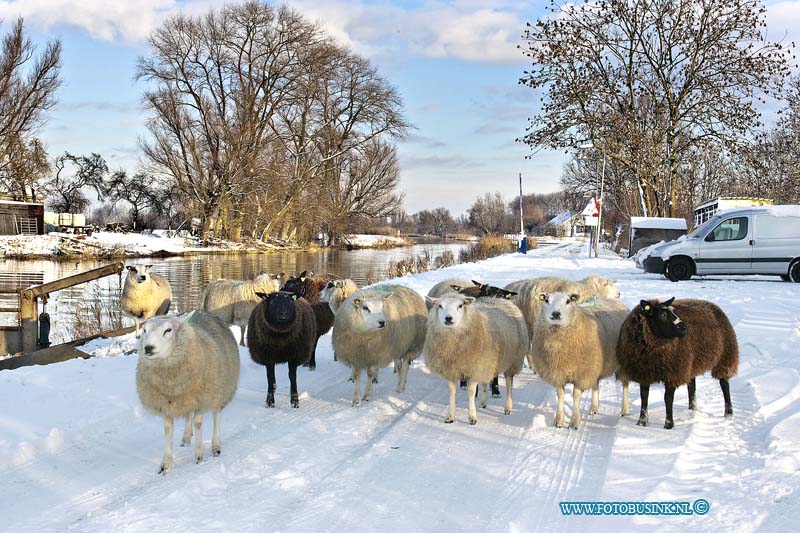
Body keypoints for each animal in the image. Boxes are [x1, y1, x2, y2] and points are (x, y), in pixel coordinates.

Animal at [136, 310, 241, 472]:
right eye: (144, 330)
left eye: (168, 330)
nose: (148, 348)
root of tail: (203, 311)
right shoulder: (167, 404)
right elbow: (168, 429)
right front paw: (166, 463)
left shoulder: (202, 398)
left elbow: (198, 423)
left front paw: (199, 455)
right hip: (188, 397)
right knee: (187, 415)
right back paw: (186, 437)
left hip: (218, 390)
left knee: (216, 415)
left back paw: (216, 445)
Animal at [422, 296, 528, 424]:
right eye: (440, 306)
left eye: (460, 305)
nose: (448, 318)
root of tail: (501, 299)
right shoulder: (452, 371)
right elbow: (452, 392)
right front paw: (450, 417)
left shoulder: (473, 370)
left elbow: (471, 392)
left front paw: (472, 417)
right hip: (487, 362)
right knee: (485, 382)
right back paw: (483, 402)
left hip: (512, 361)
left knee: (509, 384)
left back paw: (507, 407)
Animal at [532, 290, 632, 428]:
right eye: (546, 300)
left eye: (568, 301)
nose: (556, 314)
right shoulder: (559, 373)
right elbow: (560, 395)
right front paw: (559, 421)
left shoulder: (582, 373)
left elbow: (576, 395)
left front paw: (574, 422)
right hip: (595, 364)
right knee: (595, 384)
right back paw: (594, 408)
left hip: (622, 363)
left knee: (625, 386)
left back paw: (625, 410)